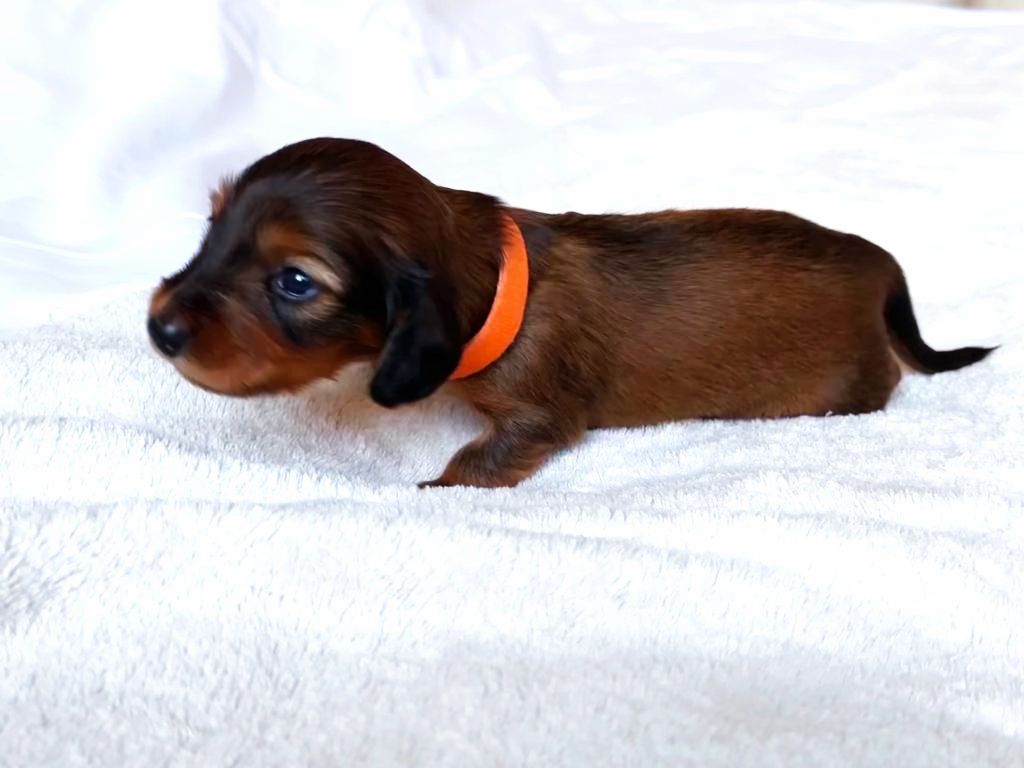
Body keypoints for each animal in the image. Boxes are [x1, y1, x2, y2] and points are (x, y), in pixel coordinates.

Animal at [148, 138, 994, 488]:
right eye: (212, 225)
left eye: (295, 282)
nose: (158, 328)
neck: (498, 284)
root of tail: (879, 258)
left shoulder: (541, 414)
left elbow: (474, 462)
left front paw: (435, 490)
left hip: (849, 385)